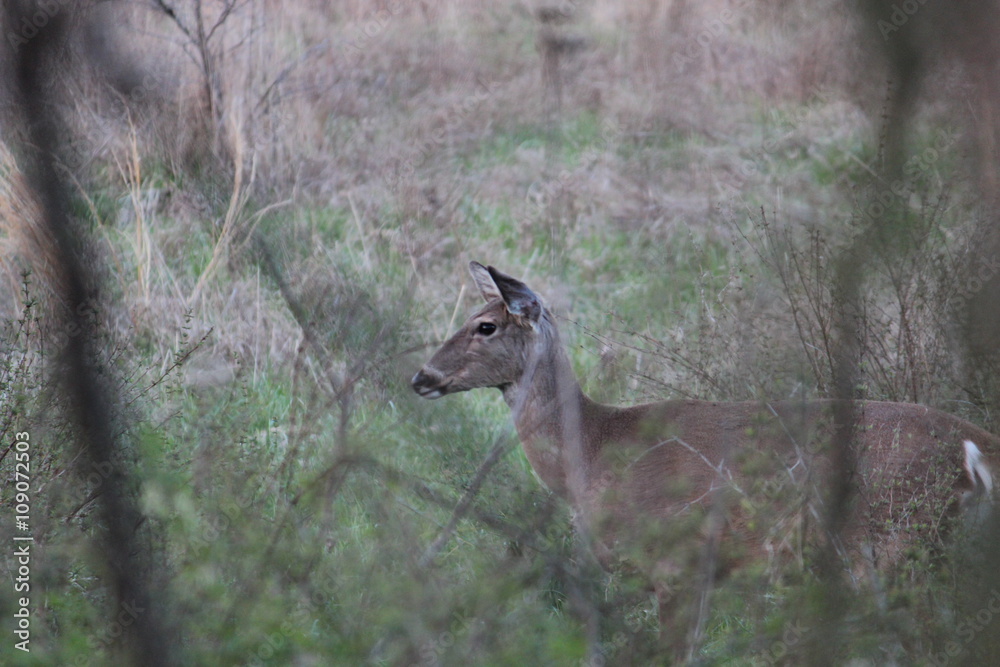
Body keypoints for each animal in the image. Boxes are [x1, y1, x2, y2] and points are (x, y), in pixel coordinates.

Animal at [411, 261, 998, 659]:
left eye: (486, 326)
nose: (421, 377)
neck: (595, 453)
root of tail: (976, 446)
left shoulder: (678, 562)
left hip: (901, 540)